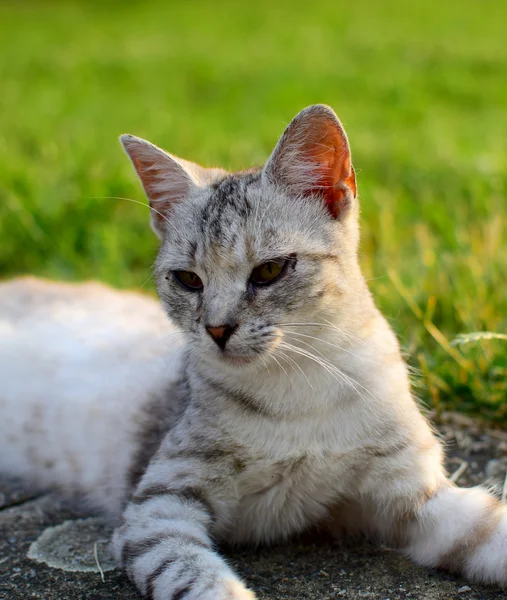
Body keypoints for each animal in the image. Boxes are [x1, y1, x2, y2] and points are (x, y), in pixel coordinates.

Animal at [0, 104, 507, 600]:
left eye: (269, 271)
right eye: (188, 279)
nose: (217, 329)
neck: (300, 391)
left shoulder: (415, 496)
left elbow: (490, 530)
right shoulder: (157, 510)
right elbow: (198, 579)